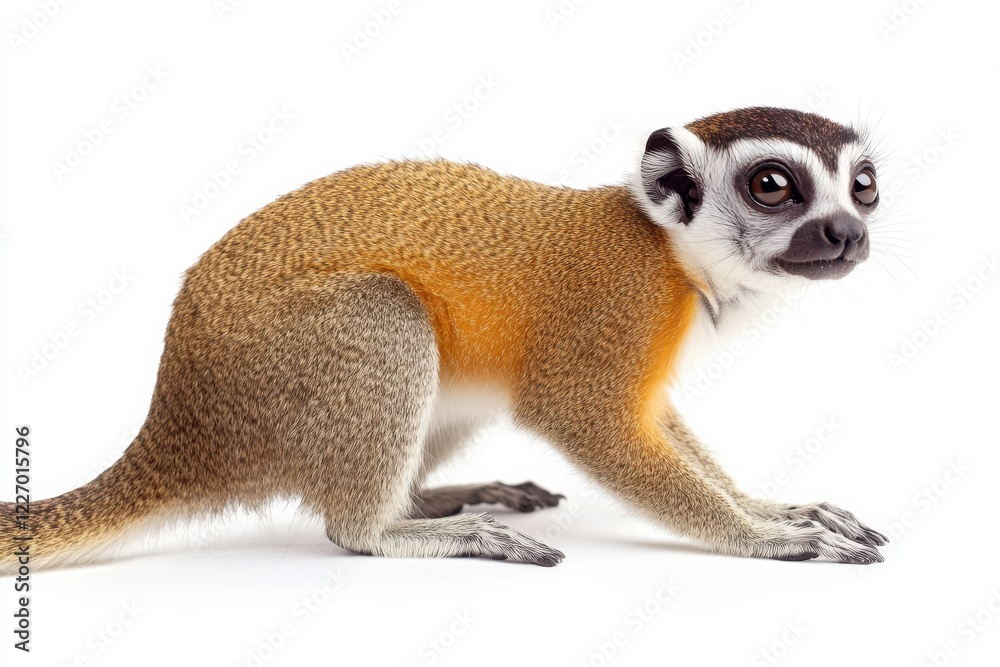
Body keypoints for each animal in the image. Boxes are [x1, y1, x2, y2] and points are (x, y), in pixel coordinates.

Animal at [1, 106, 889, 572]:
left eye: (863, 187)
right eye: (773, 186)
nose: (846, 232)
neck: (674, 254)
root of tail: (177, 422)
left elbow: (652, 417)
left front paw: (770, 504)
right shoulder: (623, 299)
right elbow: (584, 415)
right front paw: (764, 537)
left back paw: (429, 499)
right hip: (272, 374)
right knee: (387, 313)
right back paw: (386, 527)